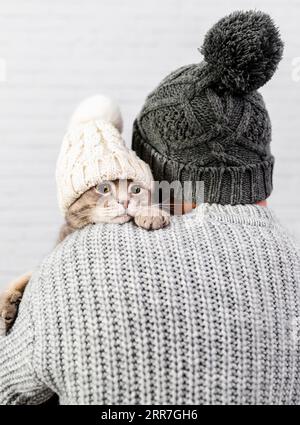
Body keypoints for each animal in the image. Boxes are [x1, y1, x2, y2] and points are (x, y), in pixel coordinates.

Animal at [0, 177, 169, 332]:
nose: (125, 201)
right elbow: (22, 278)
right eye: (104, 189)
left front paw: (151, 213)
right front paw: (6, 305)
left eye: (136, 190)